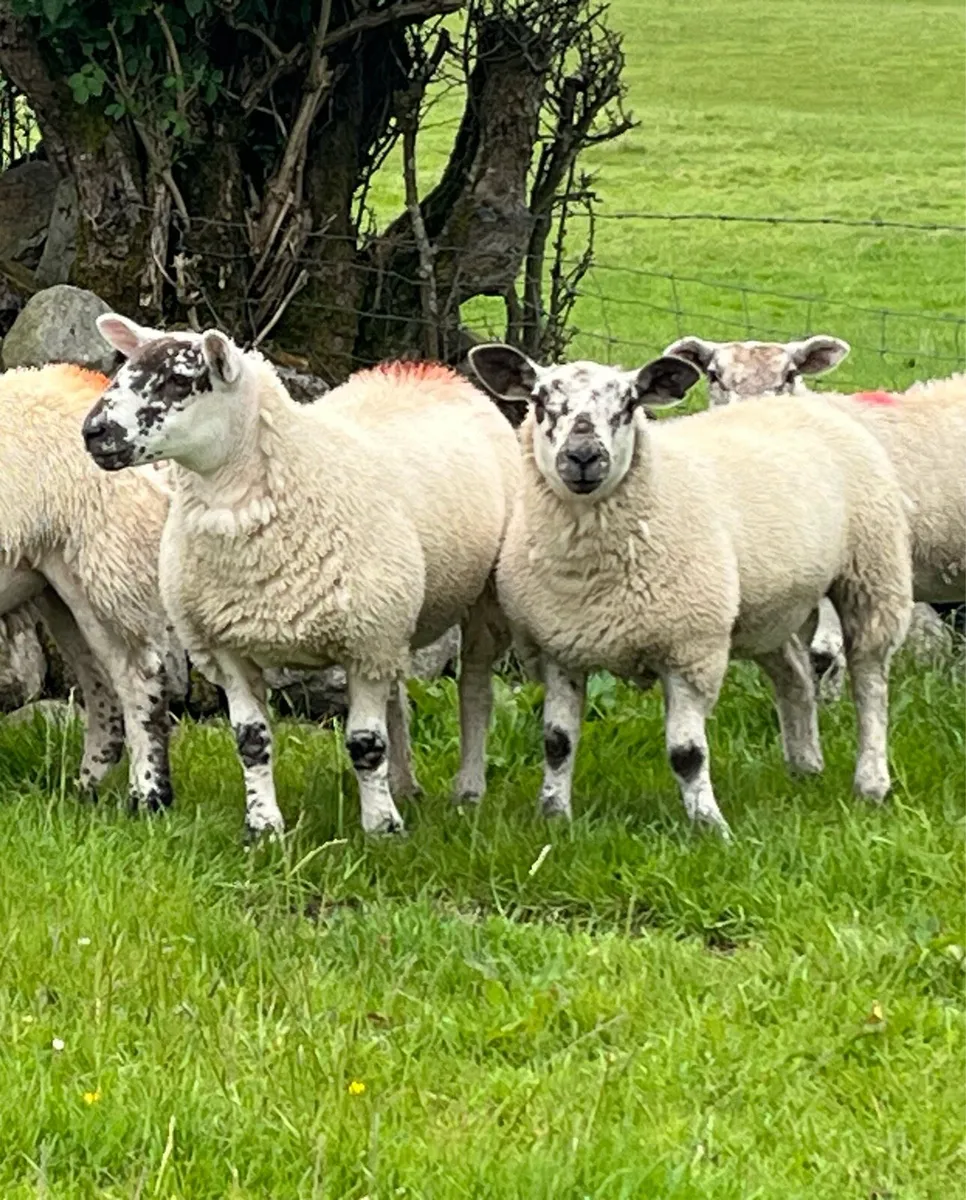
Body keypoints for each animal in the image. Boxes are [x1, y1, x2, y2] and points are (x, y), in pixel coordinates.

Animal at [0, 364, 175, 810]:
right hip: (61, 588)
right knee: (102, 692)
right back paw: (82, 792)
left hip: (103, 566)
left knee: (138, 681)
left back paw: (147, 798)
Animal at [85, 315, 522, 838]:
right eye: (124, 370)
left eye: (176, 380)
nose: (93, 432)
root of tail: (427, 370)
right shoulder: (227, 646)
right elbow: (250, 741)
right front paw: (264, 827)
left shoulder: (364, 643)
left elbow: (364, 743)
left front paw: (381, 829)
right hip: (393, 619)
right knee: (398, 696)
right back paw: (403, 786)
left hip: (475, 602)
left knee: (474, 691)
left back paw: (467, 792)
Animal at [468, 344, 913, 838]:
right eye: (541, 400)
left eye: (629, 404)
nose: (583, 456)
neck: (589, 578)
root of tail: (800, 399)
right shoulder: (559, 649)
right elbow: (557, 743)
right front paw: (553, 819)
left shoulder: (690, 649)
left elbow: (686, 754)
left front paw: (710, 827)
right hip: (766, 609)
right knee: (795, 674)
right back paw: (805, 766)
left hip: (873, 570)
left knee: (870, 681)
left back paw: (871, 782)